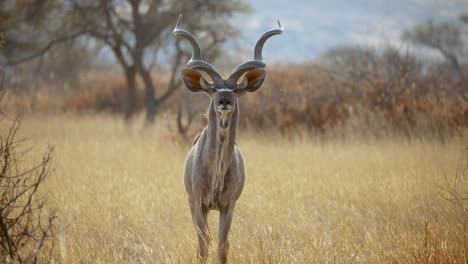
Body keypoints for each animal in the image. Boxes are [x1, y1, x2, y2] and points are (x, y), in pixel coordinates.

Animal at [175, 17, 282, 262]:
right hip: (190, 203)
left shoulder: (228, 205)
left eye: (236, 89)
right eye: (214, 88)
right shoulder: (199, 203)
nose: (224, 100)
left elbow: (223, 246)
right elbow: (203, 247)